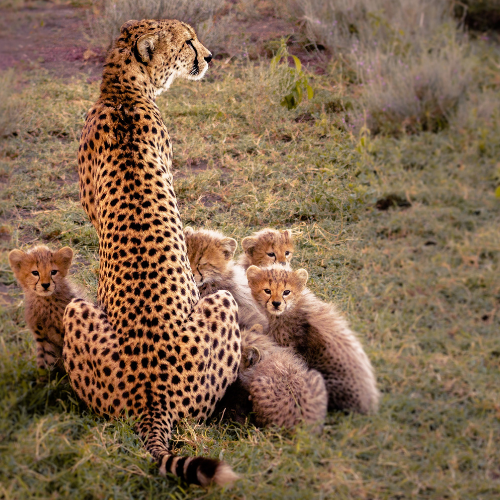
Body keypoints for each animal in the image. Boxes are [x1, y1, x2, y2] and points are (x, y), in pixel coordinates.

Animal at [63, 21, 242, 486]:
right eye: (187, 41)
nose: (210, 56)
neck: (122, 90)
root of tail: (151, 394)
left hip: (80, 311)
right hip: (220, 301)